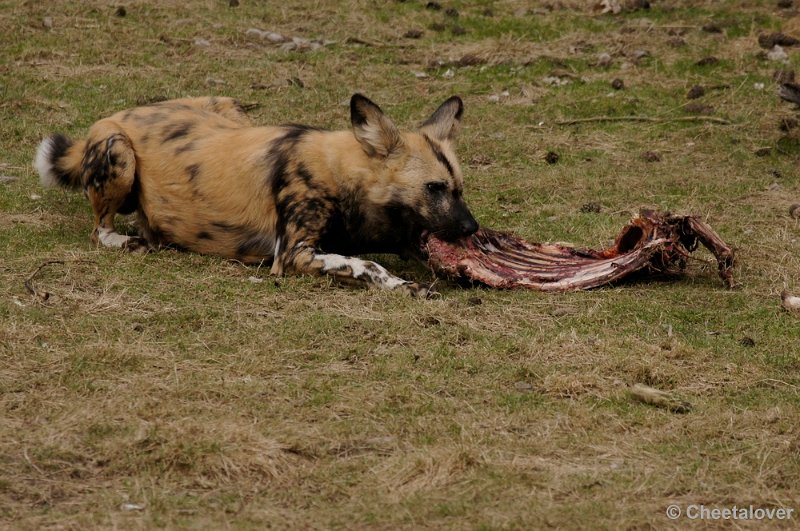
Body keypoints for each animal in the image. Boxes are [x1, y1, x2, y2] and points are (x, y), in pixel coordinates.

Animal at [34, 94, 478, 298]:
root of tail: (118, 114)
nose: (472, 228)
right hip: (118, 152)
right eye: (434, 188)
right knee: (99, 230)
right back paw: (132, 242)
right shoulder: (293, 254)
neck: (340, 171)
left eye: (458, 188)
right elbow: (367, 264)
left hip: (230, 107)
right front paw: (404, 286)